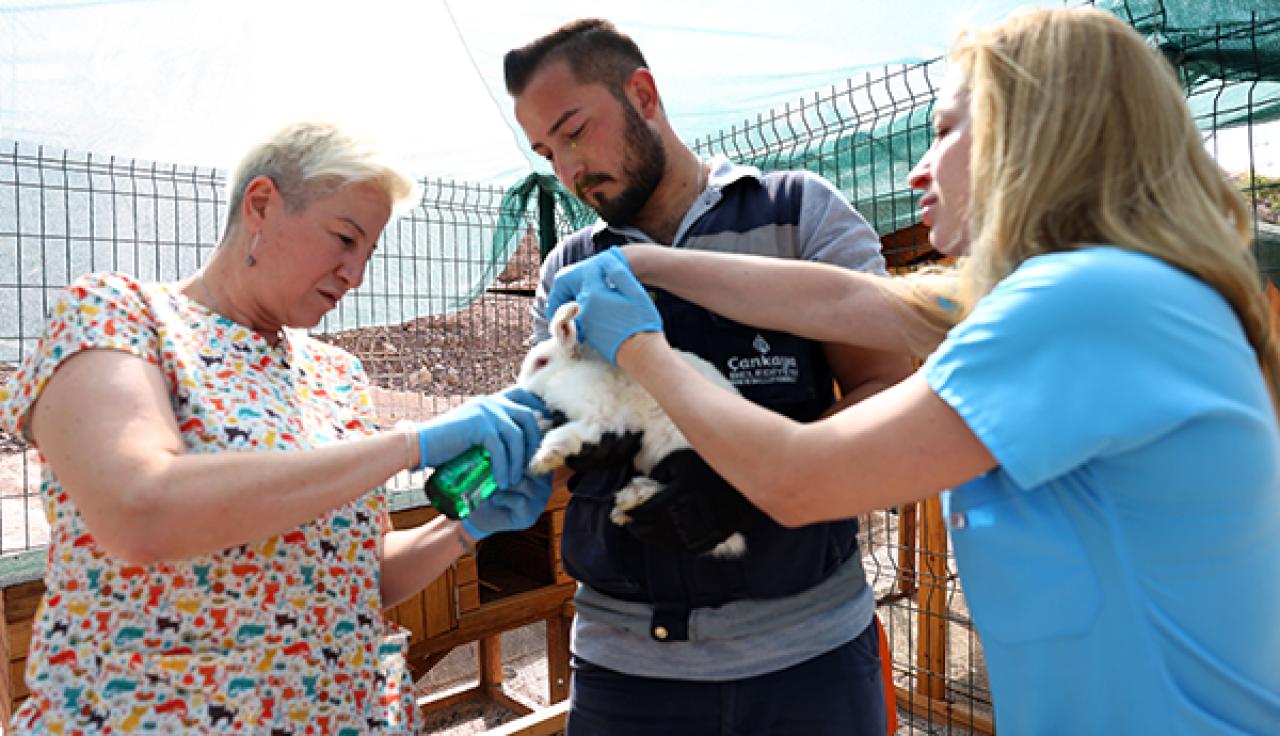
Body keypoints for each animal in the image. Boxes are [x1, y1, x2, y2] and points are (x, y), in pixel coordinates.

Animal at [514, 300, 747, 558]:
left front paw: (542, 460)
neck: (567, 373)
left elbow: (566, 435)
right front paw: (535, 423)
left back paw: (631, 499)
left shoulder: (599, 418)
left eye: (541, 362)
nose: (520, 386)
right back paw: (623, 509)